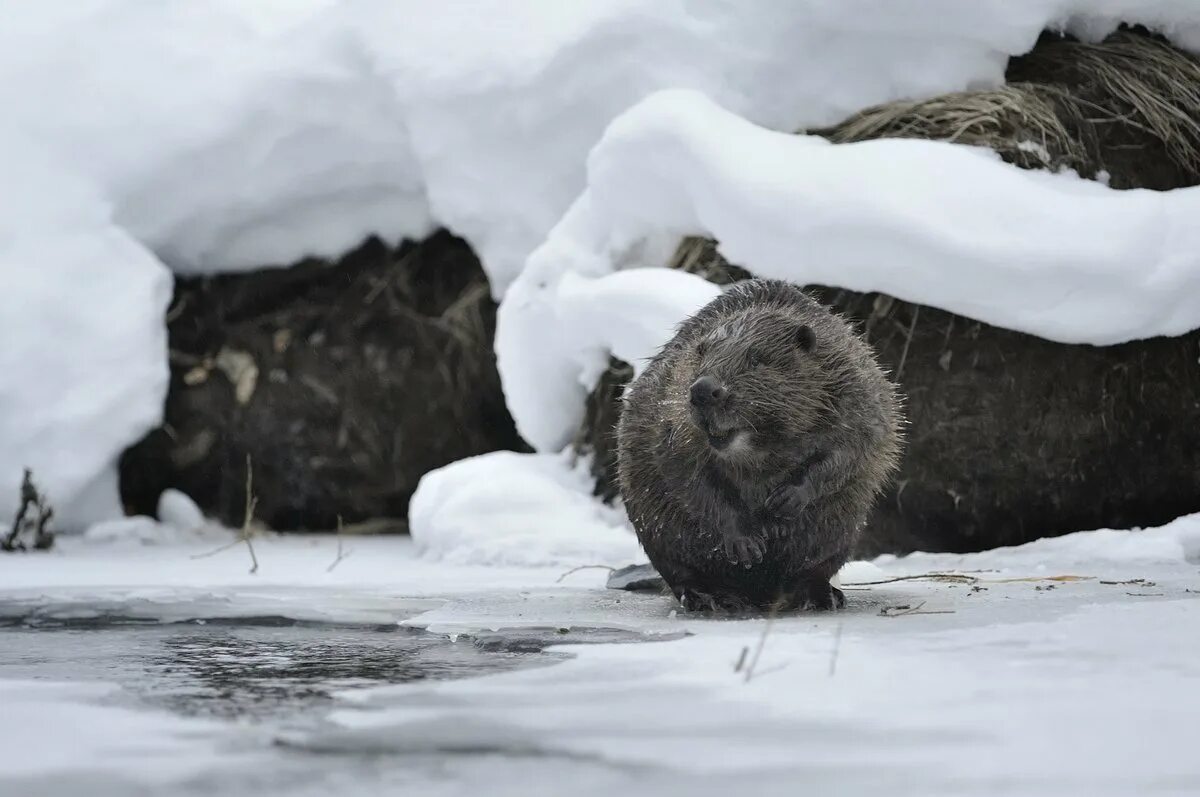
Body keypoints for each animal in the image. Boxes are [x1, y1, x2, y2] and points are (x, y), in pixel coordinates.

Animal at [619, 277, 902, 612]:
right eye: (701, 355)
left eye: (757, 359)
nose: (703, 390)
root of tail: (759, 594)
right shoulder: (671, 412)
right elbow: (686, 473)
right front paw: (747, 544)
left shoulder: (855, 389)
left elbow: (855, 447)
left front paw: (784, 503)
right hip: (659, 535)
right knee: (680, 573)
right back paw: (710, 598)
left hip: (841, 534)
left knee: (815, 569)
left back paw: (824, 596)